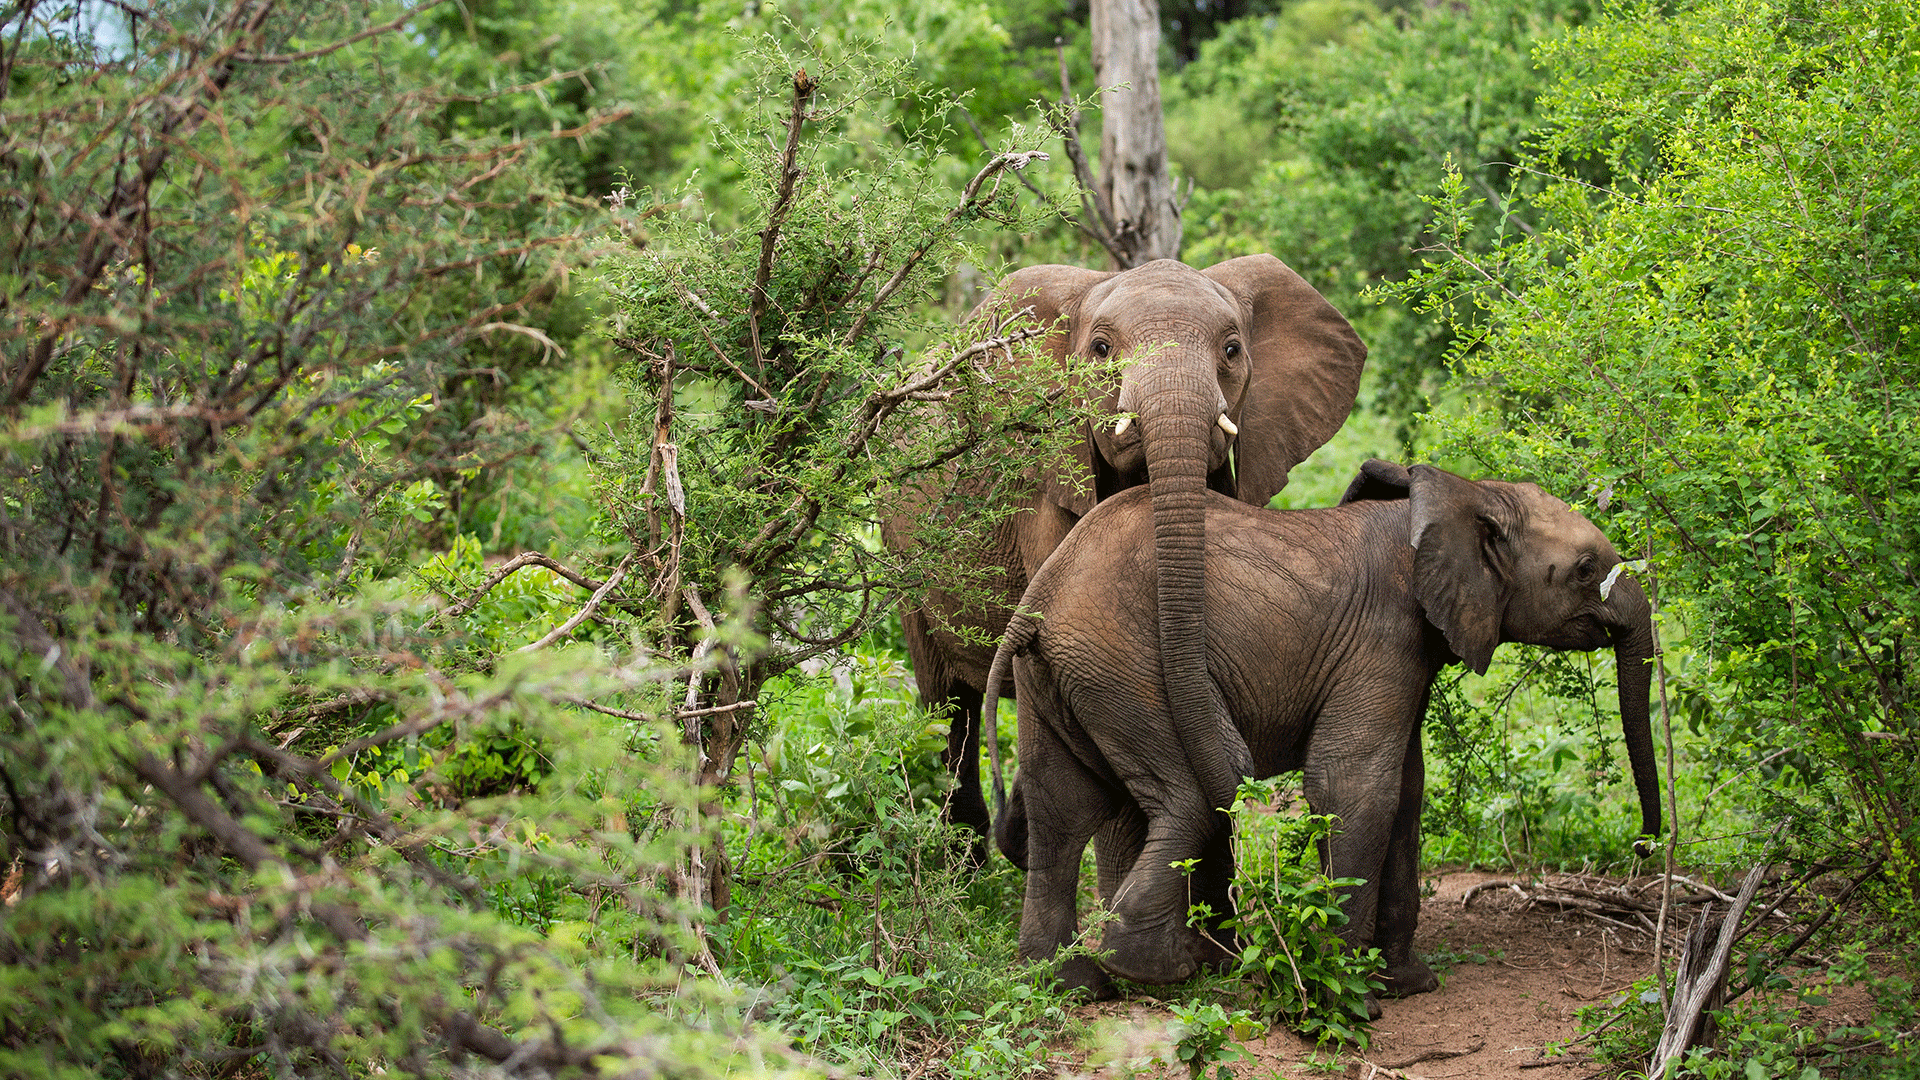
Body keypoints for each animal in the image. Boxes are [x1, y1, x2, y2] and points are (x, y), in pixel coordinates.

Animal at [983, 455, 1658, 999]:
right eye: (1585, 569)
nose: (1641, 851)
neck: (1464, 495)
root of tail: (1040, 598)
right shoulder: (1385, 635)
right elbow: (1355, 786)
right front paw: (1355, 993)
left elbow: (1405, 789)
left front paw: (1406, 984)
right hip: (1126, 665)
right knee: (1190, 795)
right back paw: (1158, 972)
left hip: (1062, 676)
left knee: (1059, 812)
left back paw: (1071, 984)